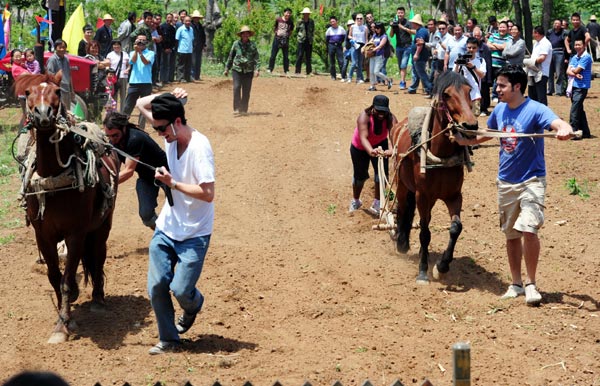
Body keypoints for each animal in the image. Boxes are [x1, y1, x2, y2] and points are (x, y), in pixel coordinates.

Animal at [17, 73, 119, 344]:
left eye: (56, 91)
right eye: (28, 92)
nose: (43, 114)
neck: (54, 176)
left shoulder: (75, 233)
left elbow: (66, 278)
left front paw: (61, 326)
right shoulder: (43, 235)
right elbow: (55, 276)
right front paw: (66, 313)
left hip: (102, 225)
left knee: (98, 256)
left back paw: (98, 299)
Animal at [392, 71, 480, 284]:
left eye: (469, 90)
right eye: (446, 95)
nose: (470, 125)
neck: (440, 155)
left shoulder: (454, 196)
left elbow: (456, 227)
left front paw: (442, 266)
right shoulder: (423, 196)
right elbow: (425, 232)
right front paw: (423, 271)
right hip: (402, 185)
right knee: (402, 209)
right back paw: (401, 242)